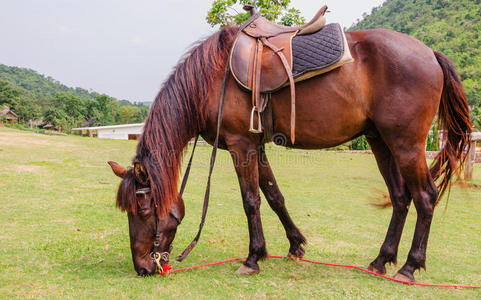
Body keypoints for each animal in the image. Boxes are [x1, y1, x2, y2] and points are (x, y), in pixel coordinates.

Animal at [108, 25, 468, 282]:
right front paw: (295, 245)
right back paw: (381, 260)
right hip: (381, 141)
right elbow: (274, 196)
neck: (211, 80)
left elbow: (251, 200)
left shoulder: (240, 145)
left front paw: (253, 258)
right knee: (400, 197)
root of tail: (430, 53)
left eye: (143, 209)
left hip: (406, 144)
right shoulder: (256, 146)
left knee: (425, 196)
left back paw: (409, 267)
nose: (143, 267)